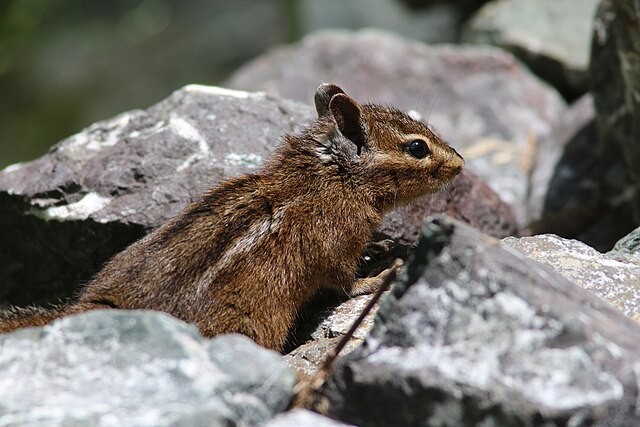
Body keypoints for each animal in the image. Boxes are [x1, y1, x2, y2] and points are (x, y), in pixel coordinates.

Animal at [0, 83, 464, 350]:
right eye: (417, 148)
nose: (460, 164)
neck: (333, 178)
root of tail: (99, 307)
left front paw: (382, 244)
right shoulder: (334, 244)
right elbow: (344, 281)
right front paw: (376, 276)